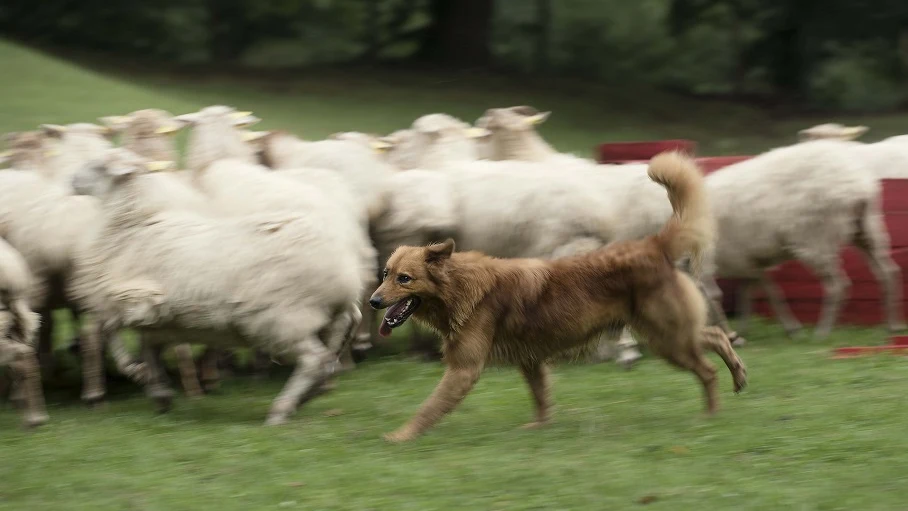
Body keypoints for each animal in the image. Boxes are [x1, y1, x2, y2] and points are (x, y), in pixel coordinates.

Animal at [69, 148, 364, 424]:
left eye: (100, 165)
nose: (71, 180)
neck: (131, 227)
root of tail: (346, 273)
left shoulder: (136, 301)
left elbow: (107, 331)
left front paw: (133, 370)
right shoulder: (160, 320)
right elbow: (147, 350)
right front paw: (159, 392)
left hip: (283, 318)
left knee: (313, 361)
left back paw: (281, 409)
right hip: (330, 317)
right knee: (328, 359)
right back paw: (310, 394)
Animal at [368, 153, 744, 444]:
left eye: (405, 279)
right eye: (385, 273)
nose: (372, 301)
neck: (460, 287)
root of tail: (652, 245)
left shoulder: (464, 370)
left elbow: (428, 408)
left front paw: (399, 437)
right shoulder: (530, 359)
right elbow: (541, 396)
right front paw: (540, 427)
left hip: (667, 338)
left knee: (708, 369)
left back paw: (711, 413)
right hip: (668, 334)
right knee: (714, 335)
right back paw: (738, 374)